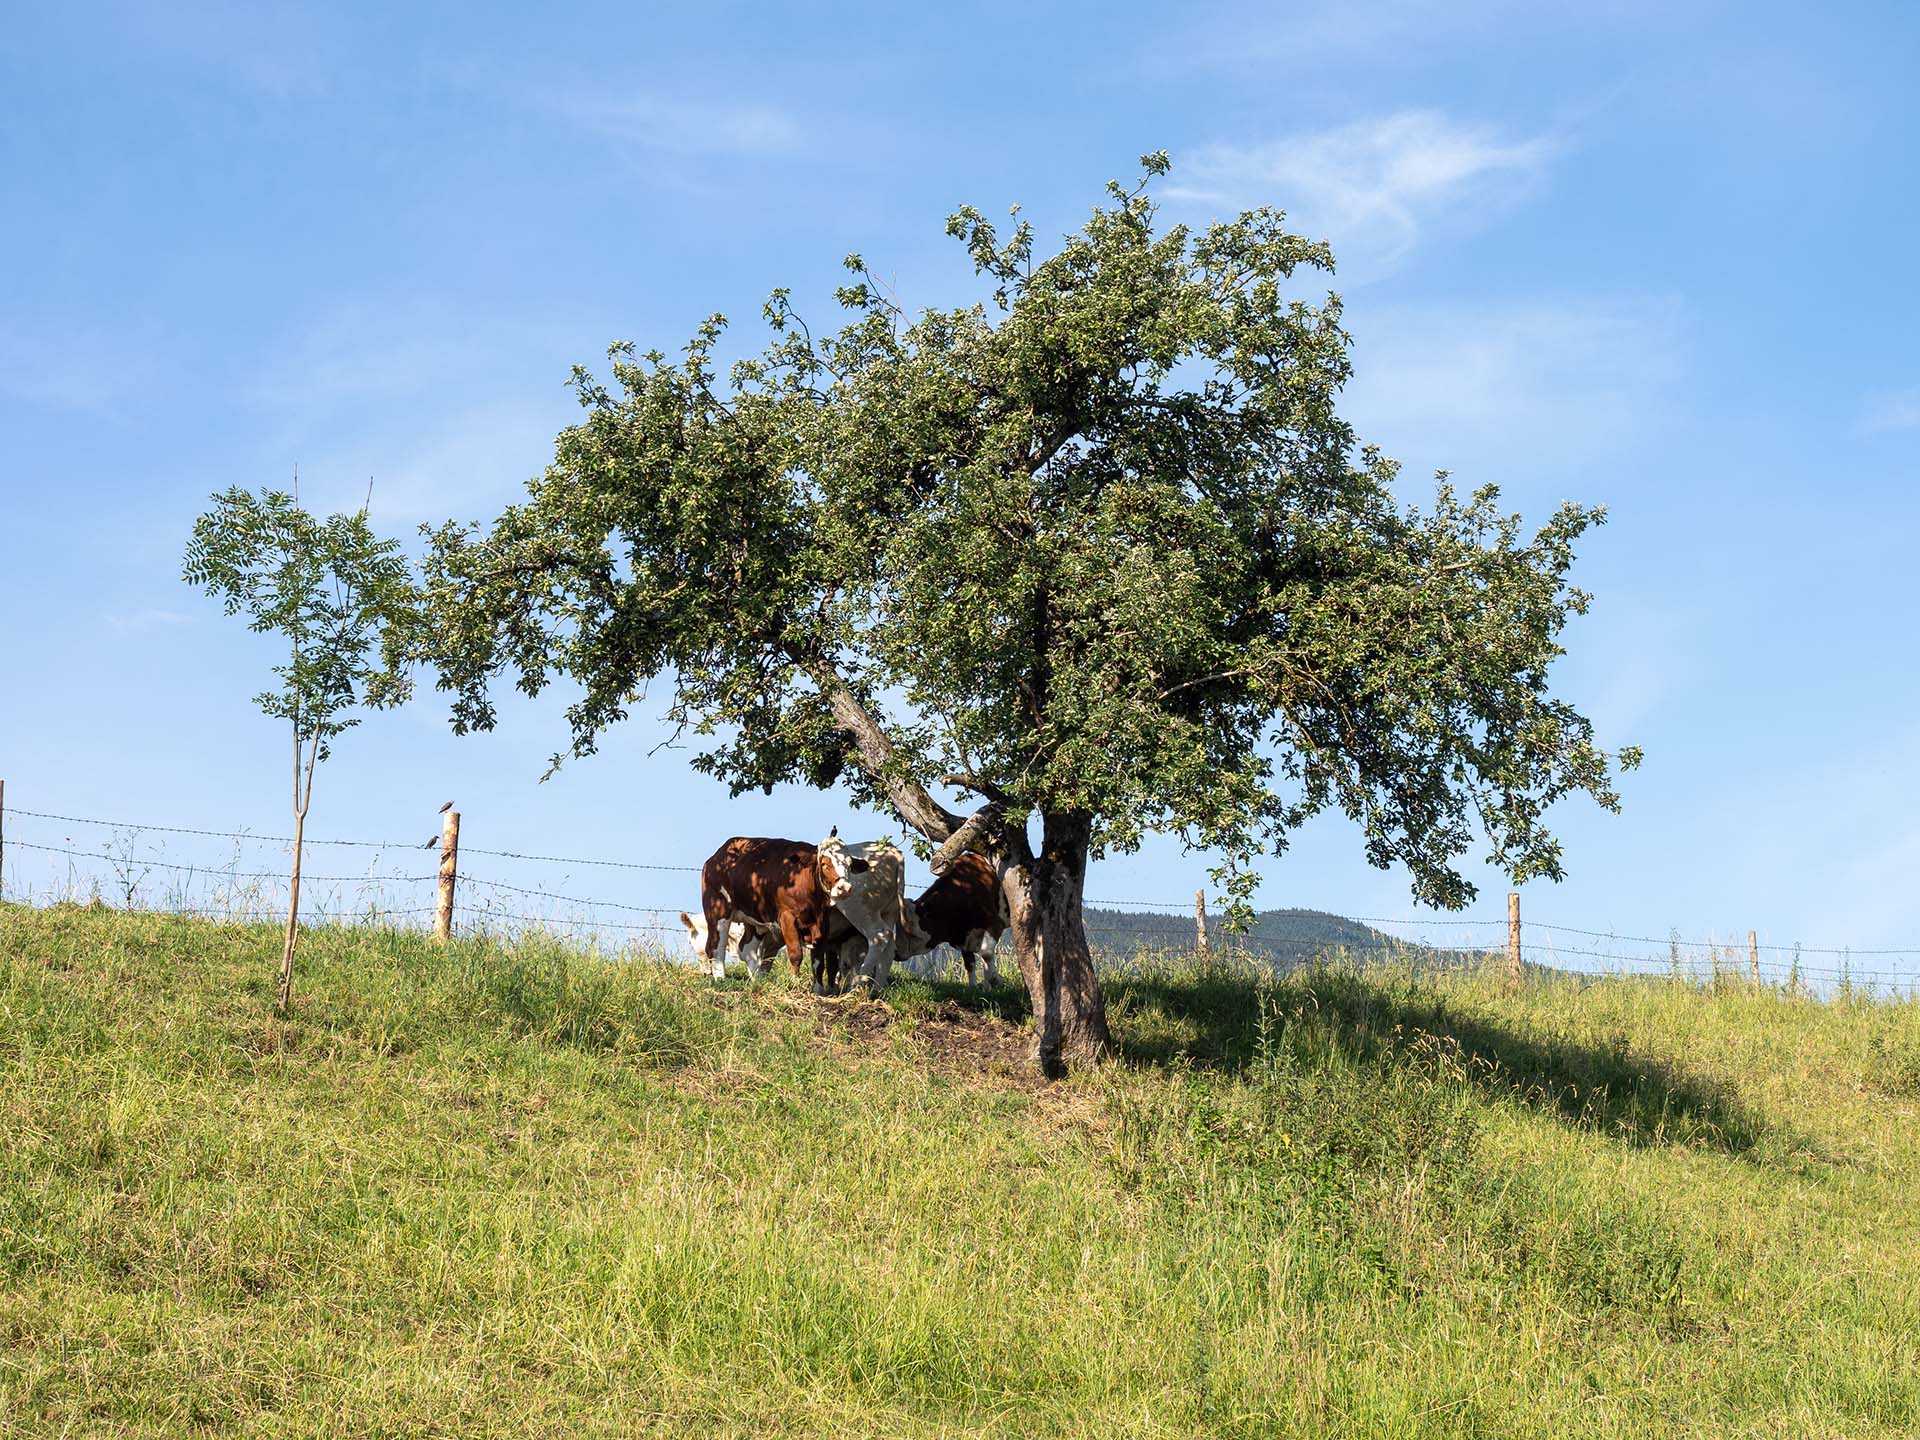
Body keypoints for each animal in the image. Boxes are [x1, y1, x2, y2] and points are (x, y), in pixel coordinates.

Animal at [903, 851, 1009, 986]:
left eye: (911, 933)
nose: (896, 954)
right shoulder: (963, 937)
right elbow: (970, 962)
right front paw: (976, 987)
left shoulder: (994, 924)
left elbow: (986, 953)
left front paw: (995, 979)